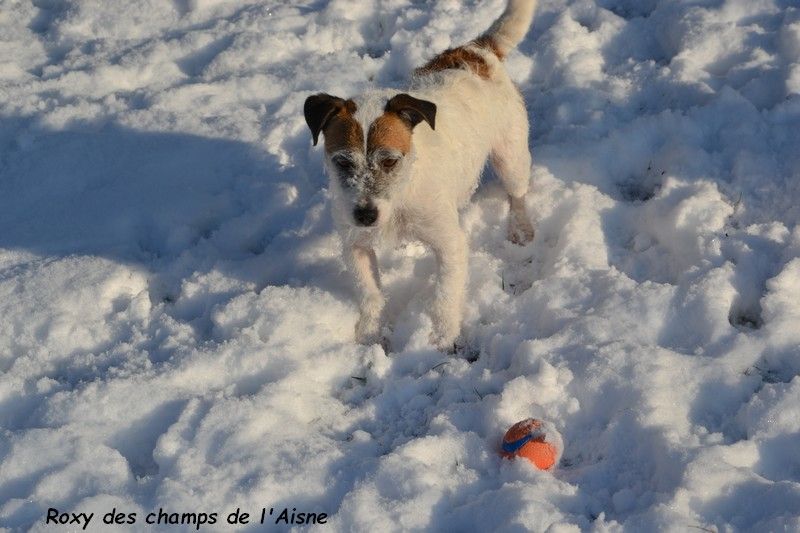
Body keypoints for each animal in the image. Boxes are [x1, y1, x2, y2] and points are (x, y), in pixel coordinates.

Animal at [304, 0, 538, 351]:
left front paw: (443, 336)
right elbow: (369, 292)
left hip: (510, 156)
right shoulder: (355, 245)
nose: (366, 216)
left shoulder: (449, 244)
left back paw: (520, 227)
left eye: (389, 161)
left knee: (518, 193)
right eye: (342, 162)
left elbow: (445, 295)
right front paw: (370, 331)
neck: (402, 194)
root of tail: (477, 51)